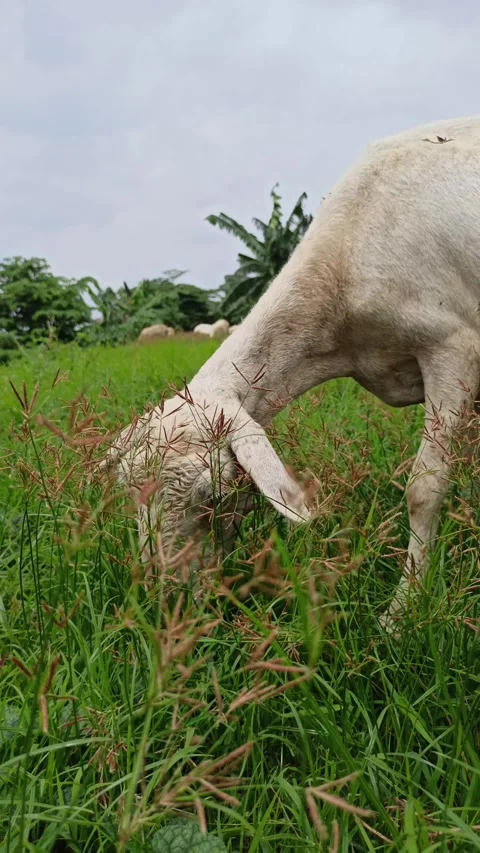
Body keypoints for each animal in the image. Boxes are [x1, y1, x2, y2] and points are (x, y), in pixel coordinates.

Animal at [104, 116, 480, 630]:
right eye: (128, 493)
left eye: (211, 493)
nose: (172, 608)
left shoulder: (453, 347)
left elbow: (423, 489)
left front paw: (400, 614)